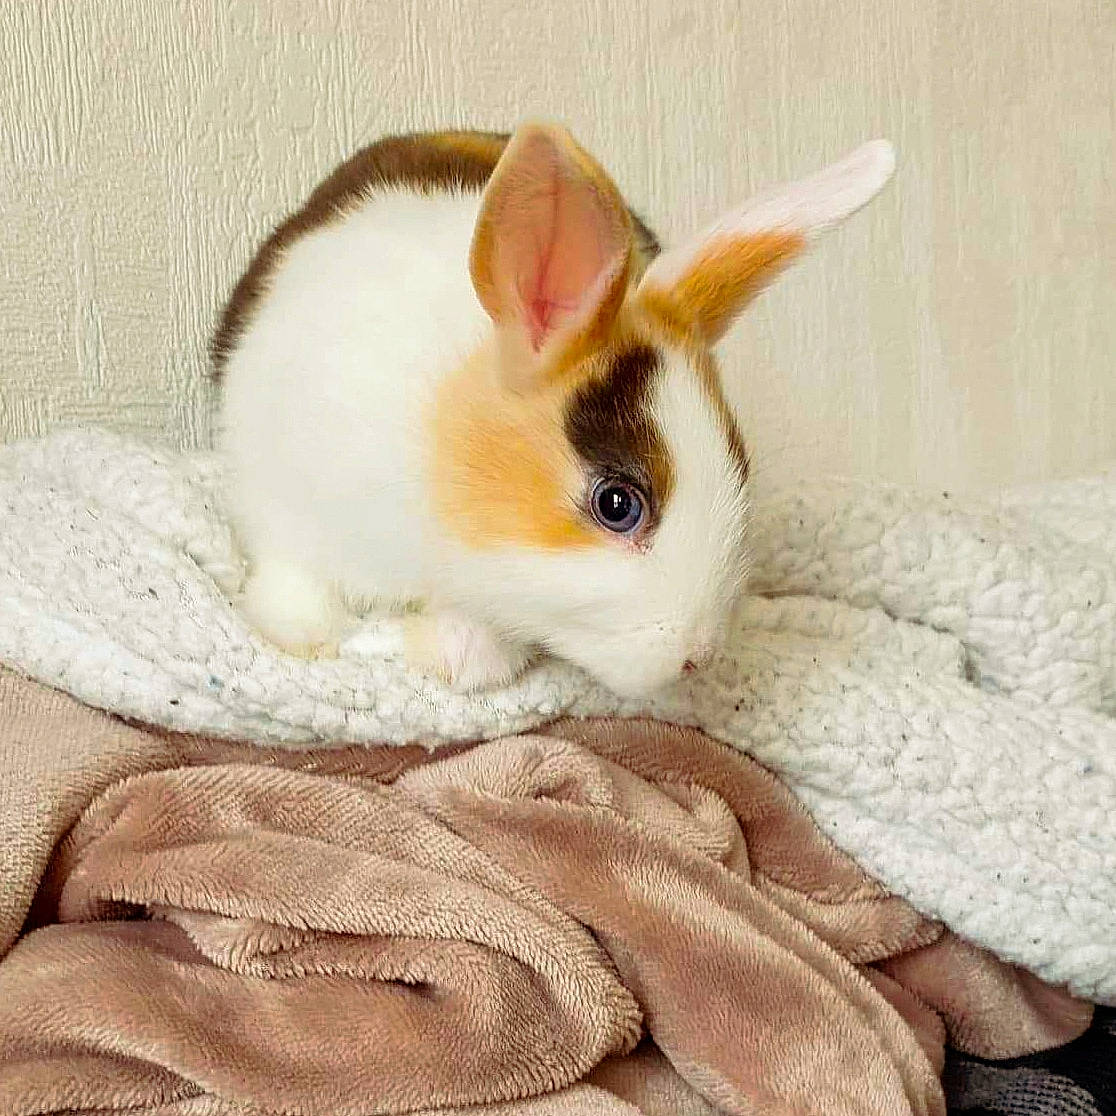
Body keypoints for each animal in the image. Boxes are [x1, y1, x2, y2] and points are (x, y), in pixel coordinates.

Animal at [215, 123, 894, 698]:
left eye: (740, 469)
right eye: (617, 505)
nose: (696, 657)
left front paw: (444, 653)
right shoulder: (279, 507)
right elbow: (293, 589)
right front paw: (312, 640)